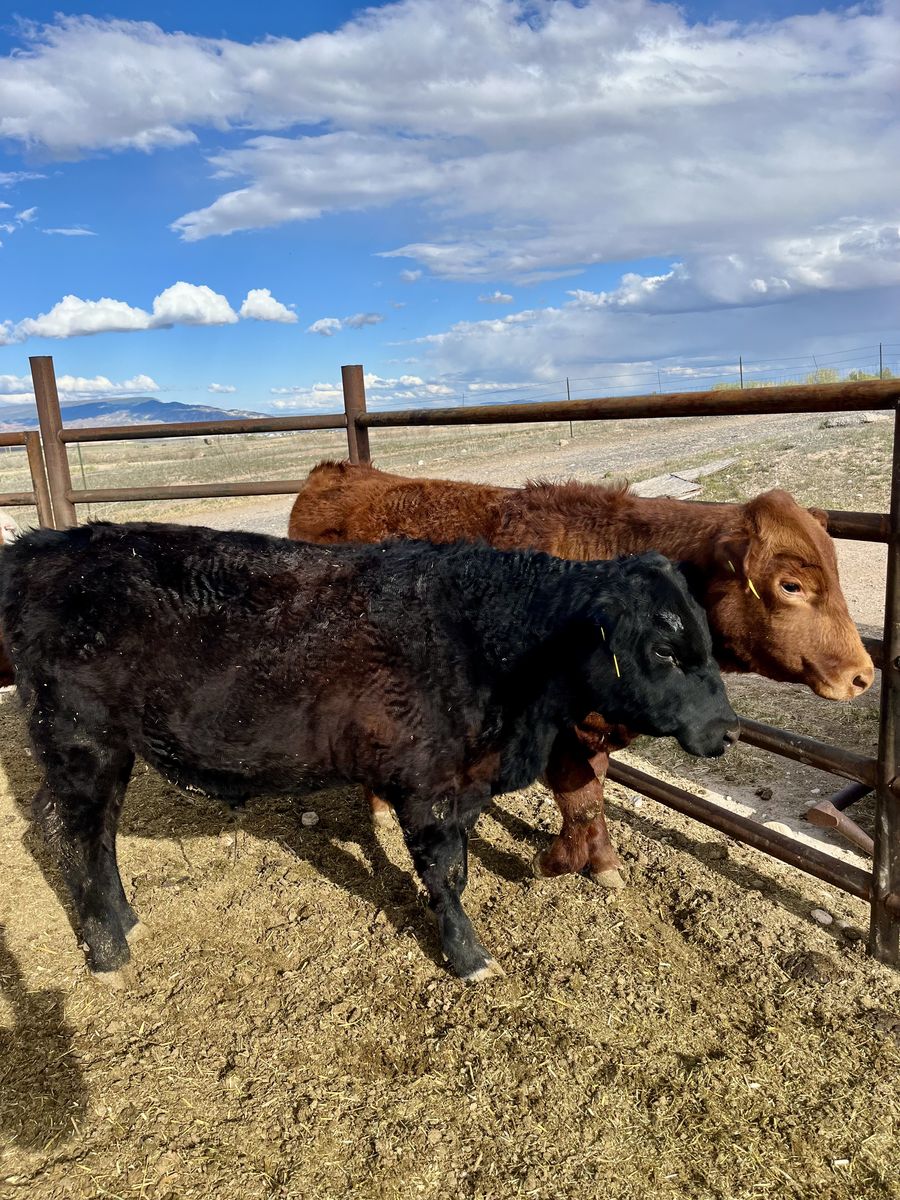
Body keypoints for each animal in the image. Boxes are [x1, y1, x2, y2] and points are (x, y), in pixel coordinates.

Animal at [0, 521, 738, 983]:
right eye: (665, 650)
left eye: (706, 639)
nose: (729, 729)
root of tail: (42, 546)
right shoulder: (430, 786)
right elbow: (447, 873)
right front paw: (470, 957)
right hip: (81, 744)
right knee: (78, 836)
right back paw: (107, 950)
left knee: (98, 837)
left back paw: (126, 920)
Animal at [288, 462, 874, 886]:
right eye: (790, 585)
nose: (862, 675)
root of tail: (338, 471)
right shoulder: (557, 726)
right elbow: (581, 798)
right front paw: (559, 863)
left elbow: (592, 792)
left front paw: (604, 863)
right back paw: (380, 809)